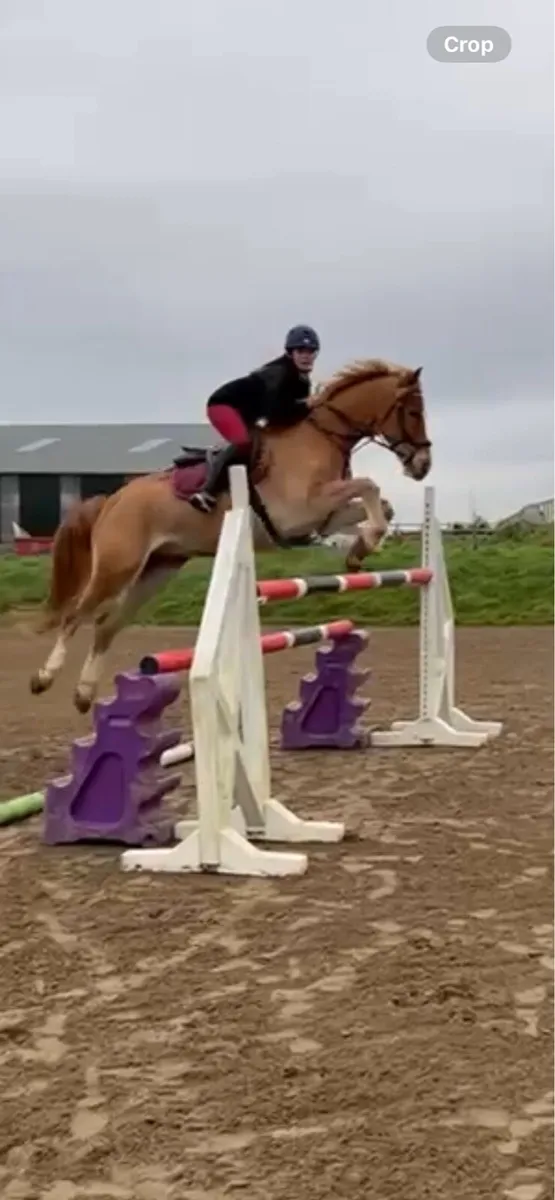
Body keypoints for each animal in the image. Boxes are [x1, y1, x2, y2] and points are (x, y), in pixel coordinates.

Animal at [30, 358, 432, 713]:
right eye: (413, 412)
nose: (423, 466)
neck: (321, 437)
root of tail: (113, 499)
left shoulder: (324, 514)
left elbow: (378, 505)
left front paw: (359, 548)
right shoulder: (300, 513)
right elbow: (369, 485)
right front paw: (366, 542)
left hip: (159, 569)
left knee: (106, 626)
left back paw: (83, 695)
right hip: (118, 566)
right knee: (75, 616)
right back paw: (43, 678)